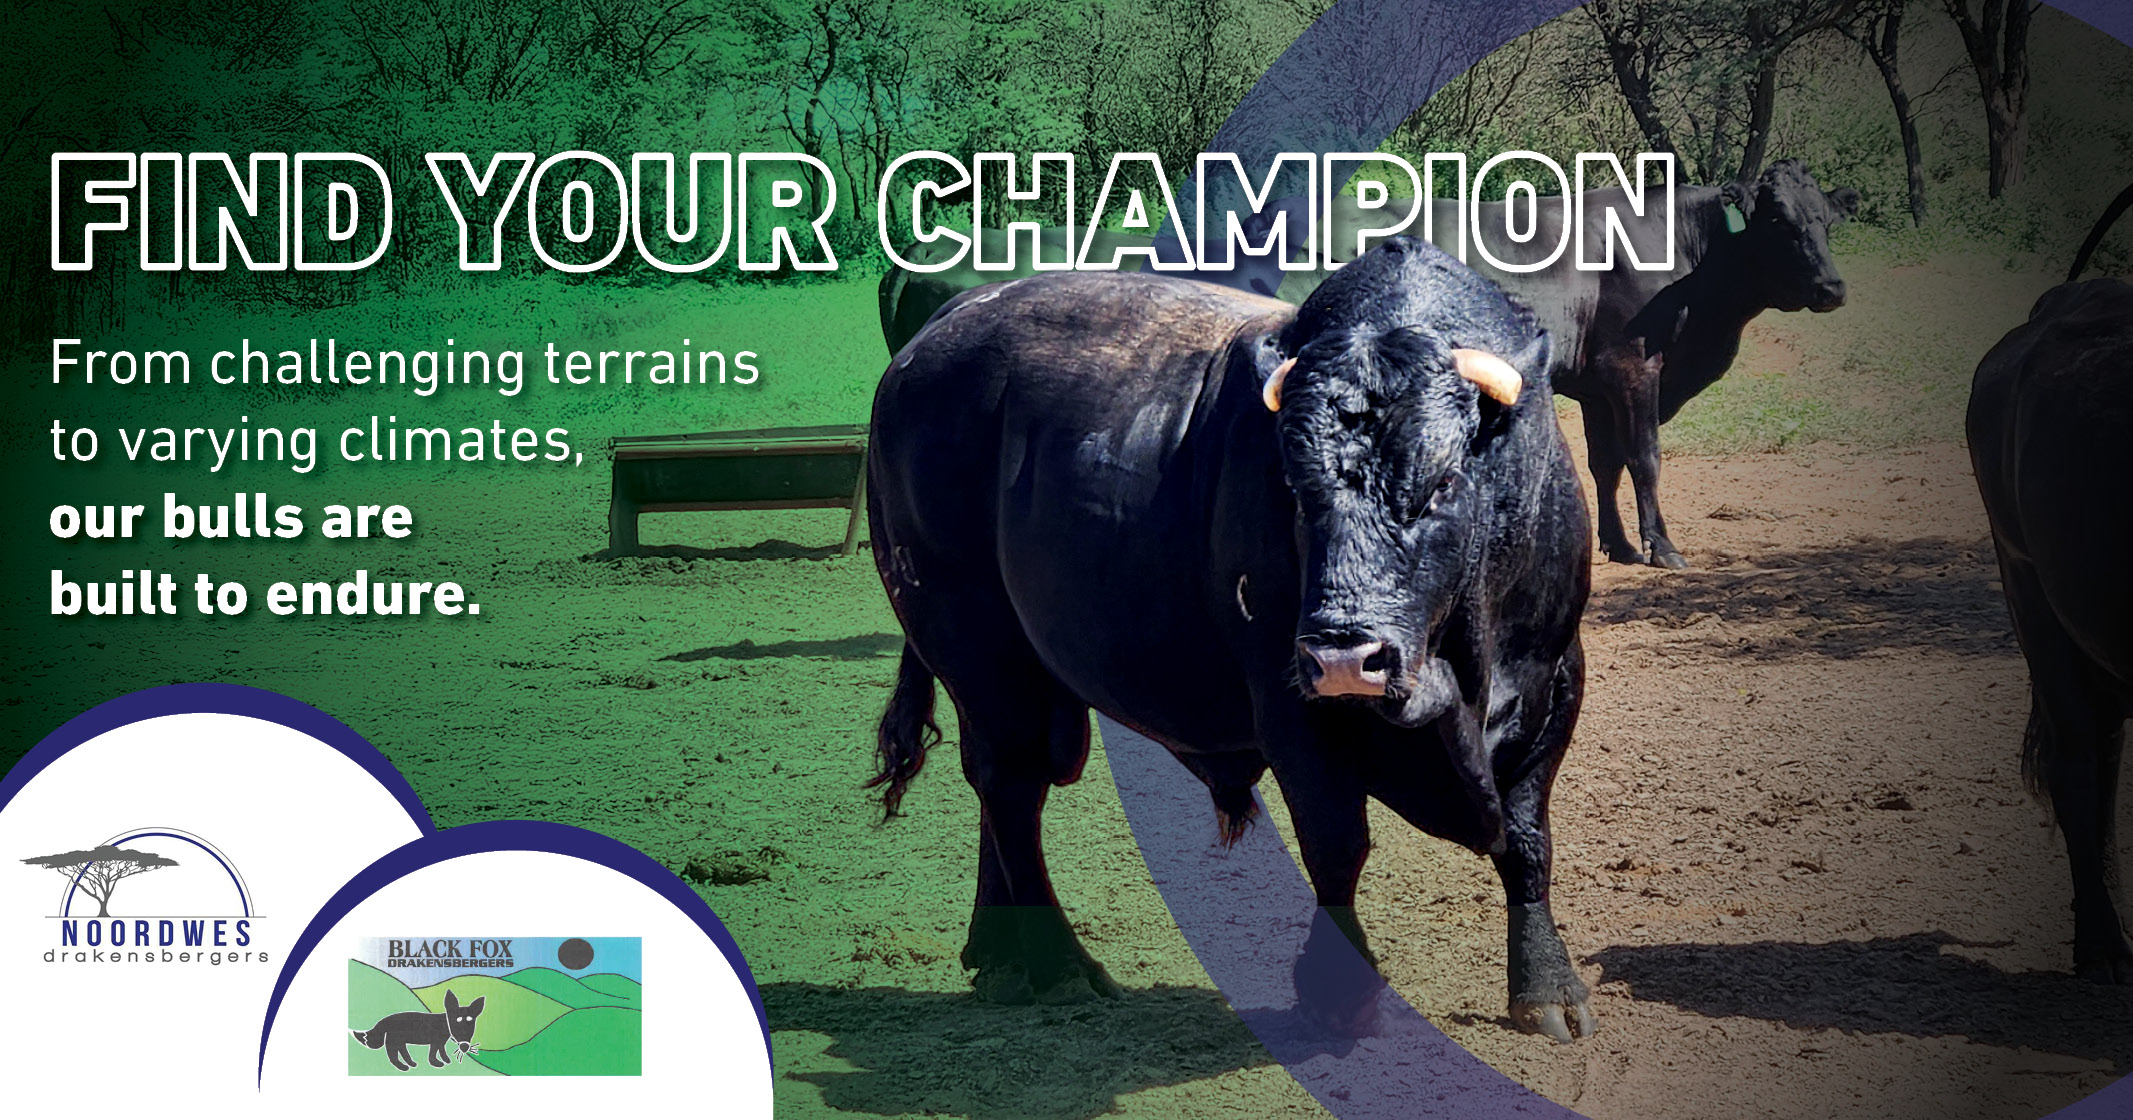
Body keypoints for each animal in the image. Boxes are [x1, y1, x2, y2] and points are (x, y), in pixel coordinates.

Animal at [352, 988, 486, 1071]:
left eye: (471, 1021)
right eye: (457, 1021)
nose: (464, 1047)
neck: (445, 1024)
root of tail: (385, 1019)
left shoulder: (441, 1042)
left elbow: (441, 1051)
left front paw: (446, 1060)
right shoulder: (435, 1041)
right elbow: (433, 1053)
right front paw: (437, 1063)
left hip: (399, 1040)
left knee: (402, 1052)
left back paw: (411, 1064)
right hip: (393, 1039)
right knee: (392, 1055)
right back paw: (402, 1067)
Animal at [865, 236, 1596, 1041]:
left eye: (1440, 484)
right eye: (1295, 490)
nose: (1344, 657)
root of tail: (938, 333)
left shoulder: (1553, 682)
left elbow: (1526, 842)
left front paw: (1546, 985)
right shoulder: (1291, 709)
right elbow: (1337, 845)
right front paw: (1338, 993)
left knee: (999, 789)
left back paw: (1000, 957)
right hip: (979, 651)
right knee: (1011, 785)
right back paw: (1057, 966)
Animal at [877, 160, 1860, 568]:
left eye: (1827, 216)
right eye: (1779, 219)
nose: (1834, 286)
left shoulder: (1594, 382)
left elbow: (1610, 463)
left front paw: (1618, 543)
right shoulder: (1633, 370)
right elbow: (1646, 459)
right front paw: (1663, 548)